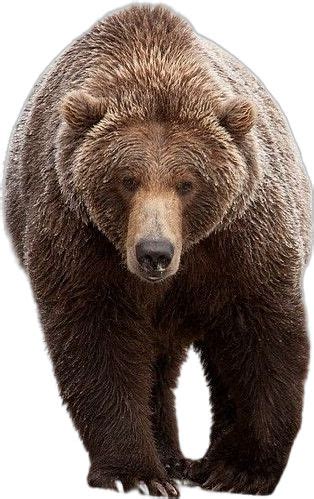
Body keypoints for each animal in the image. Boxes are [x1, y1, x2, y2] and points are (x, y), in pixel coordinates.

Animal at [4, 2, 312, 496]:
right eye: (126, 179)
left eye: (187, 183)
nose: (154, 252)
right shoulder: (81, 239)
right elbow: (98, 342)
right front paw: (138, 472)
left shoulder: (240, 241)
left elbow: (260, 339)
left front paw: (239, 469)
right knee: (155, 367)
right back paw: (170, 459)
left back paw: (197, 463)